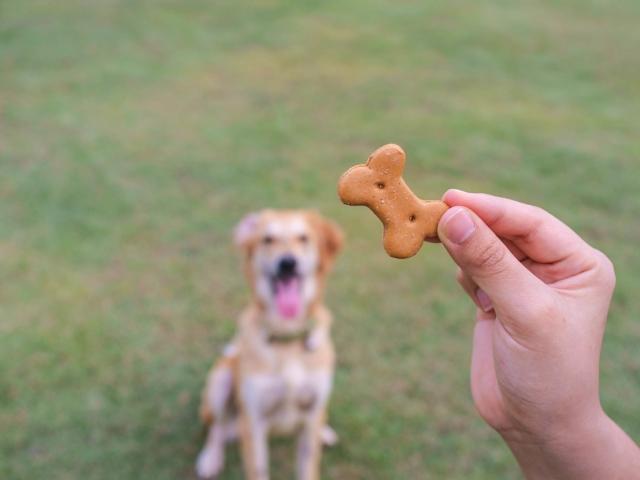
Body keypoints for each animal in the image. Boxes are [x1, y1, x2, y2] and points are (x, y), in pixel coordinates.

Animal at [196, 210, 342, 480]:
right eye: (267, 239)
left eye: (303, 238)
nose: (288, 263)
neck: (287, 337)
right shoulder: (254, 422)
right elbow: (258, 469)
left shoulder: (311, 413)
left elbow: (308, 466)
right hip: (220, 381)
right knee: (216, 427)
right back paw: (210, 457)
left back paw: (325, 432)